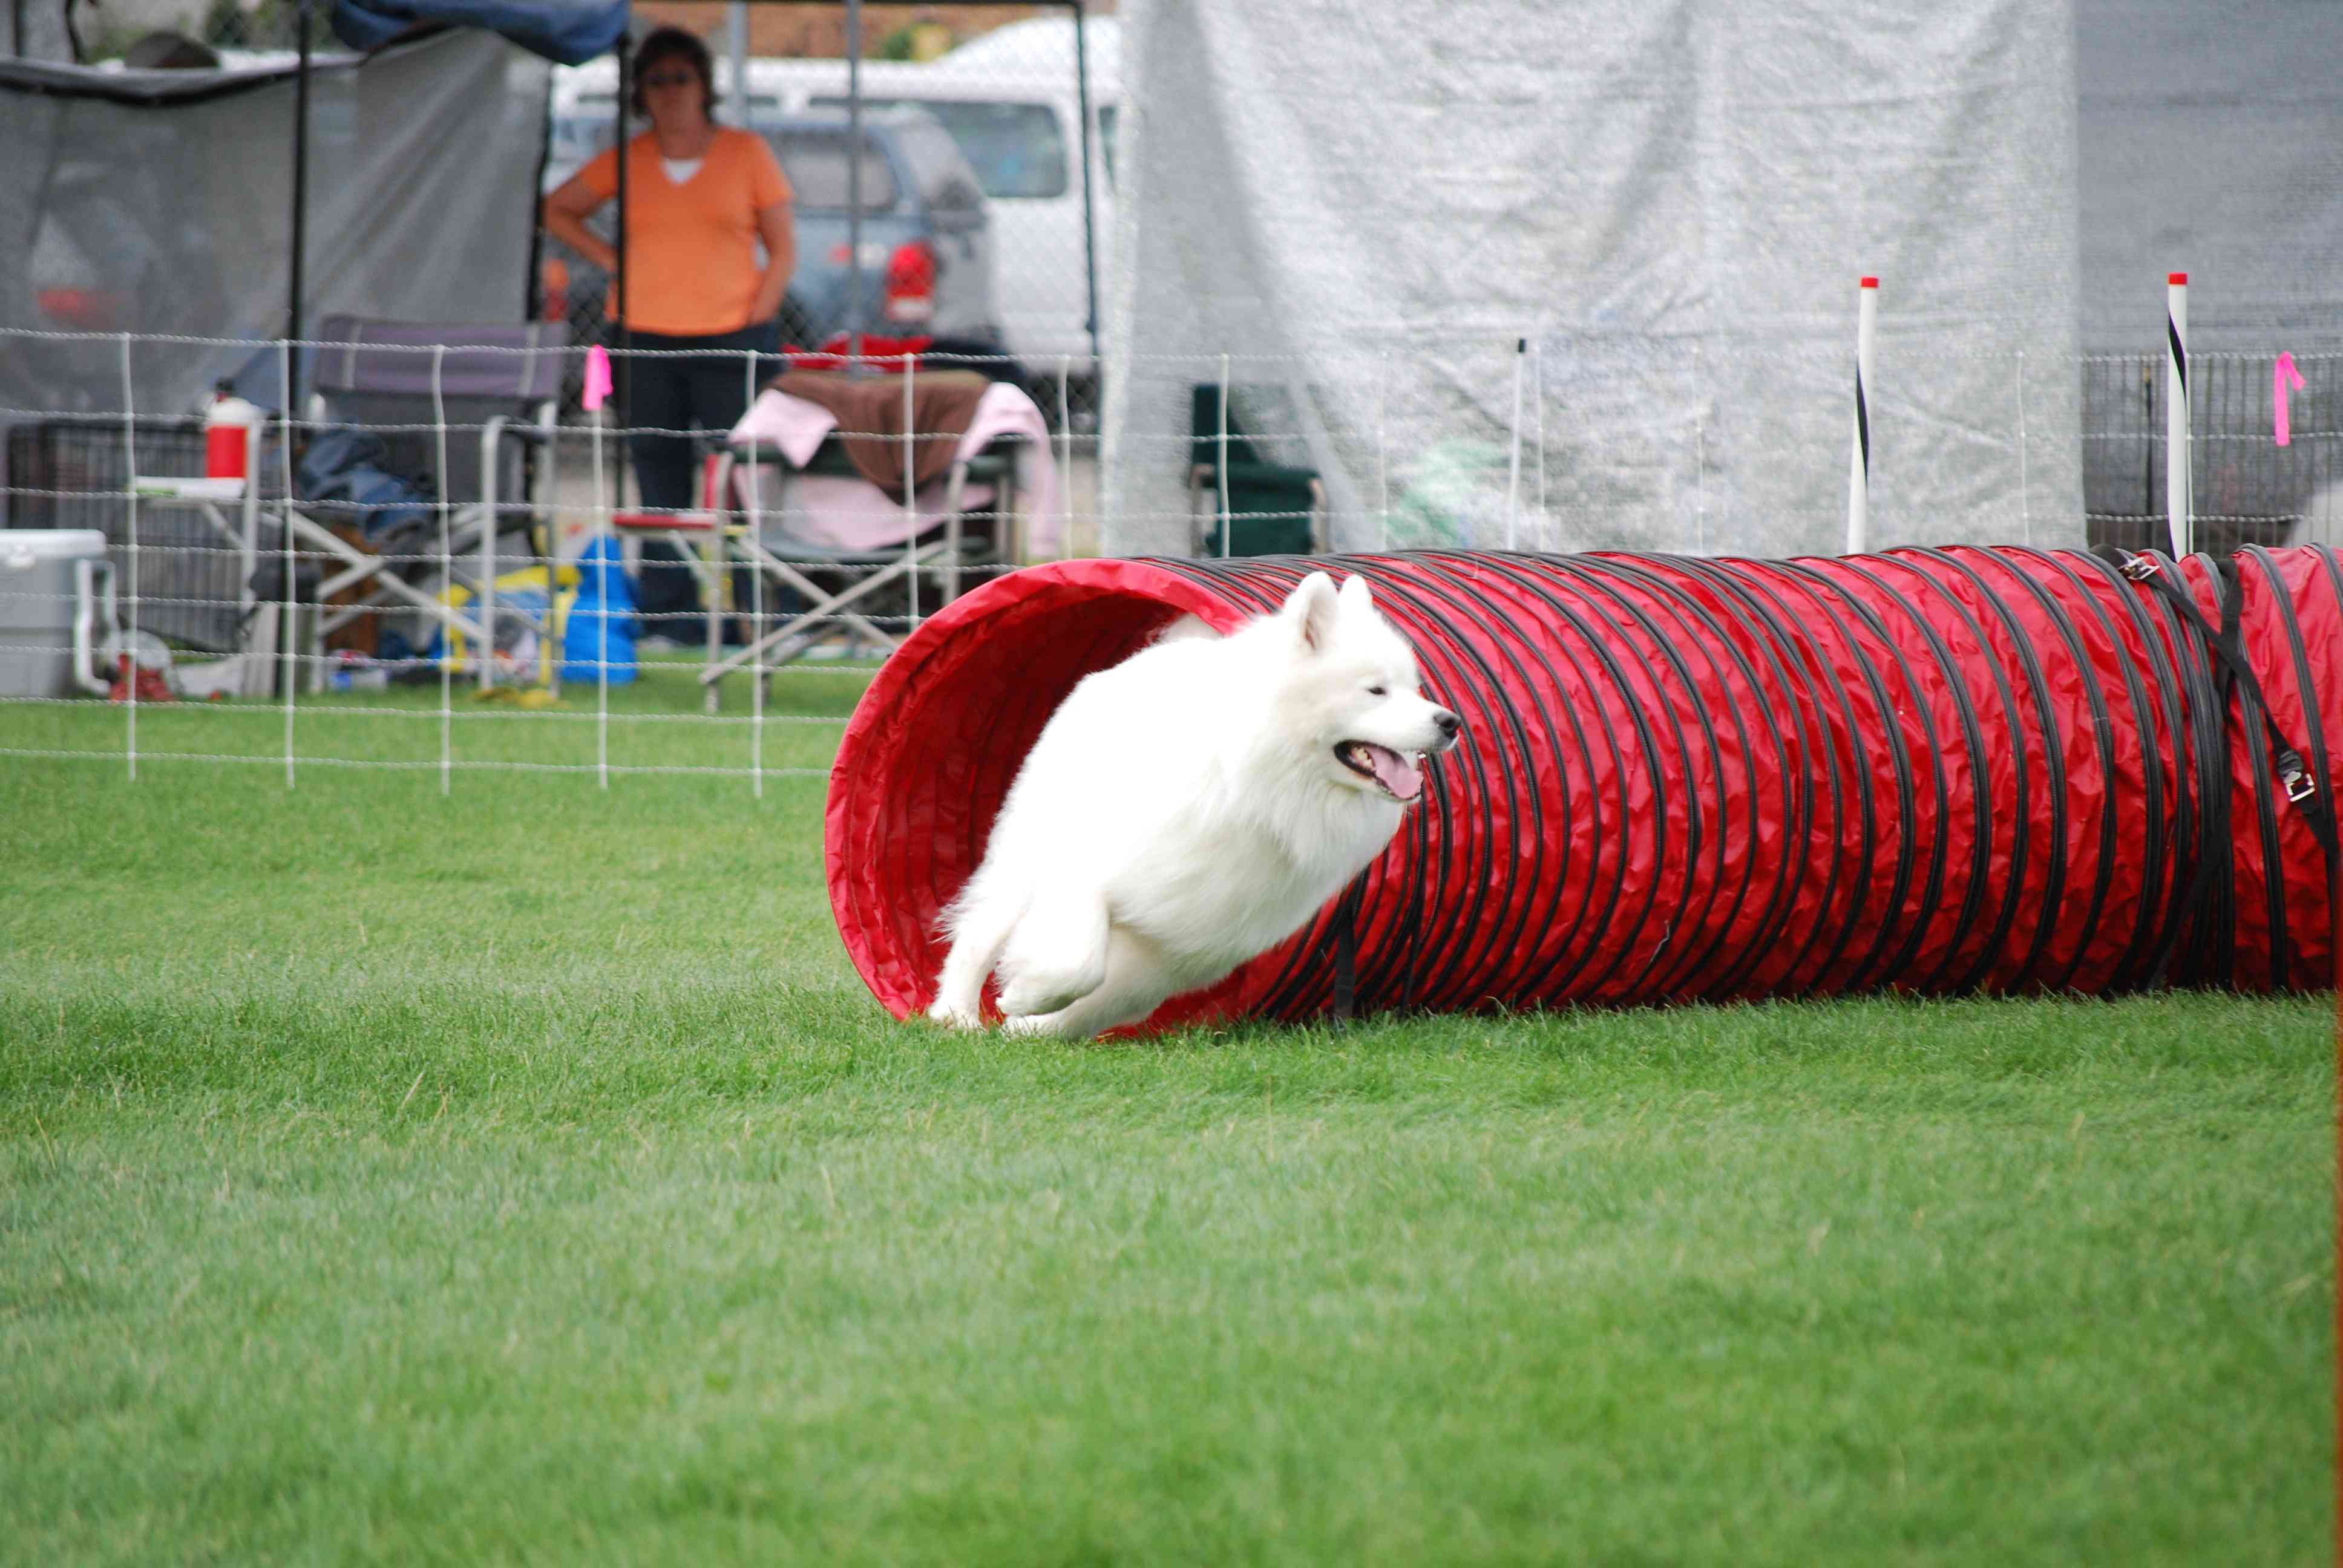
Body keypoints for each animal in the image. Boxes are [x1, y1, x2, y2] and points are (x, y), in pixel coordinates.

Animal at [928, 572, 1462, 1040]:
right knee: (978, 932)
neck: (1259, 790)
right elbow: (1077, 962)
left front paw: (1031, 1026)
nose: (1451, 722)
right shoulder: (1087, 868)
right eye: (1375, 690)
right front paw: (1021, 996)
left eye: (1413, 686)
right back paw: (957, 1015)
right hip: (1028, 851)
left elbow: (1102, 996)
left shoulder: (1185, 944)